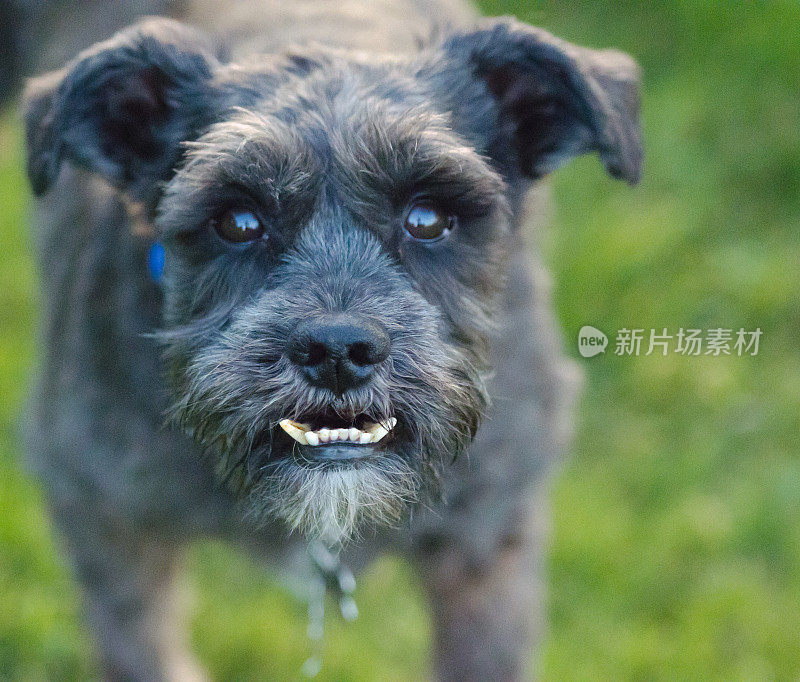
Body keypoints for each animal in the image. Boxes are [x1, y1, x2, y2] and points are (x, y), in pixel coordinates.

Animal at [18, 1, 640, 676]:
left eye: (428, 217)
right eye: (238, 221)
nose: (337, 351)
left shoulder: (487, 547)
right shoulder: (103, 519)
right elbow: (139, 649)